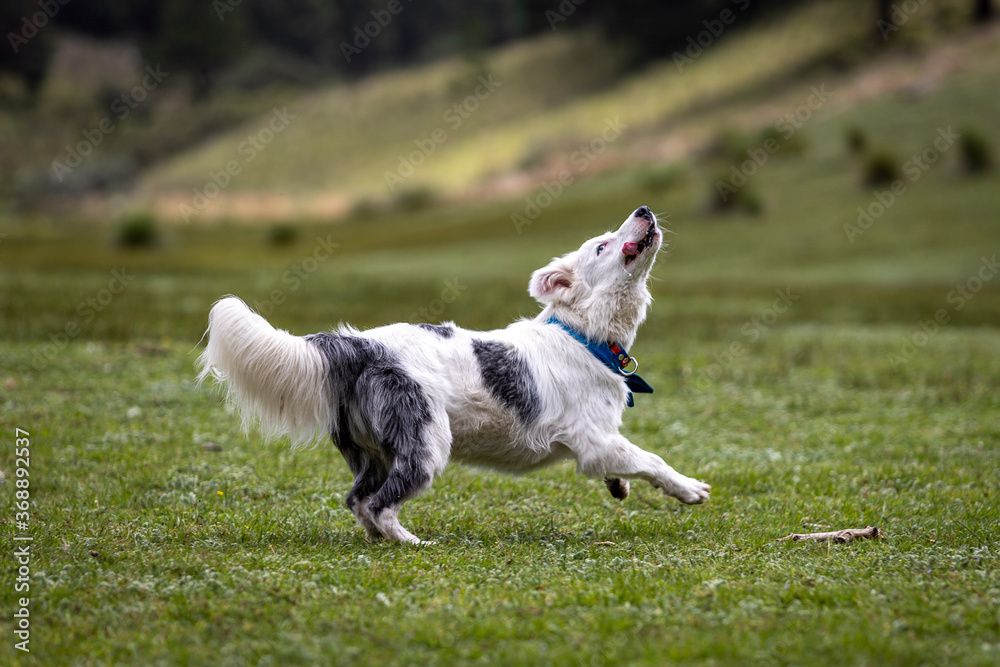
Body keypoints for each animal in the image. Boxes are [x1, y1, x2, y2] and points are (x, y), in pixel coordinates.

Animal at [195, 206, 712, 544]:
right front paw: (690, 488)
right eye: (602, 245)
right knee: (380, 504)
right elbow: (652, 459)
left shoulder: (602, 443)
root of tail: (359, 345)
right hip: (425, 441)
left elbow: (628, 464)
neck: (582, 334)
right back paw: (410, 542)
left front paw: (620, 486)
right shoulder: (593, 441)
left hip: (372, 453)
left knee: (358, 501)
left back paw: (381, 538)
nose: (643, 209)